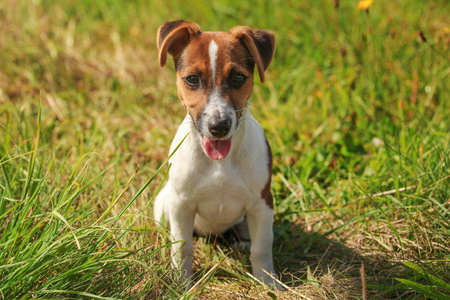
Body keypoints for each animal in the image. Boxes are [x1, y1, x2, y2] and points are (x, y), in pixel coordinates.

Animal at [155, 20, 280, 288]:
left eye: (238, 77)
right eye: (192, 79)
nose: (219, 126)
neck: (220, 163)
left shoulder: (262, 204)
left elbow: (262, 247)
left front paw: (267, 282)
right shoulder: (180, 204)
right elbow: (182, 248)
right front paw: (182, 283)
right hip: (163, 203)